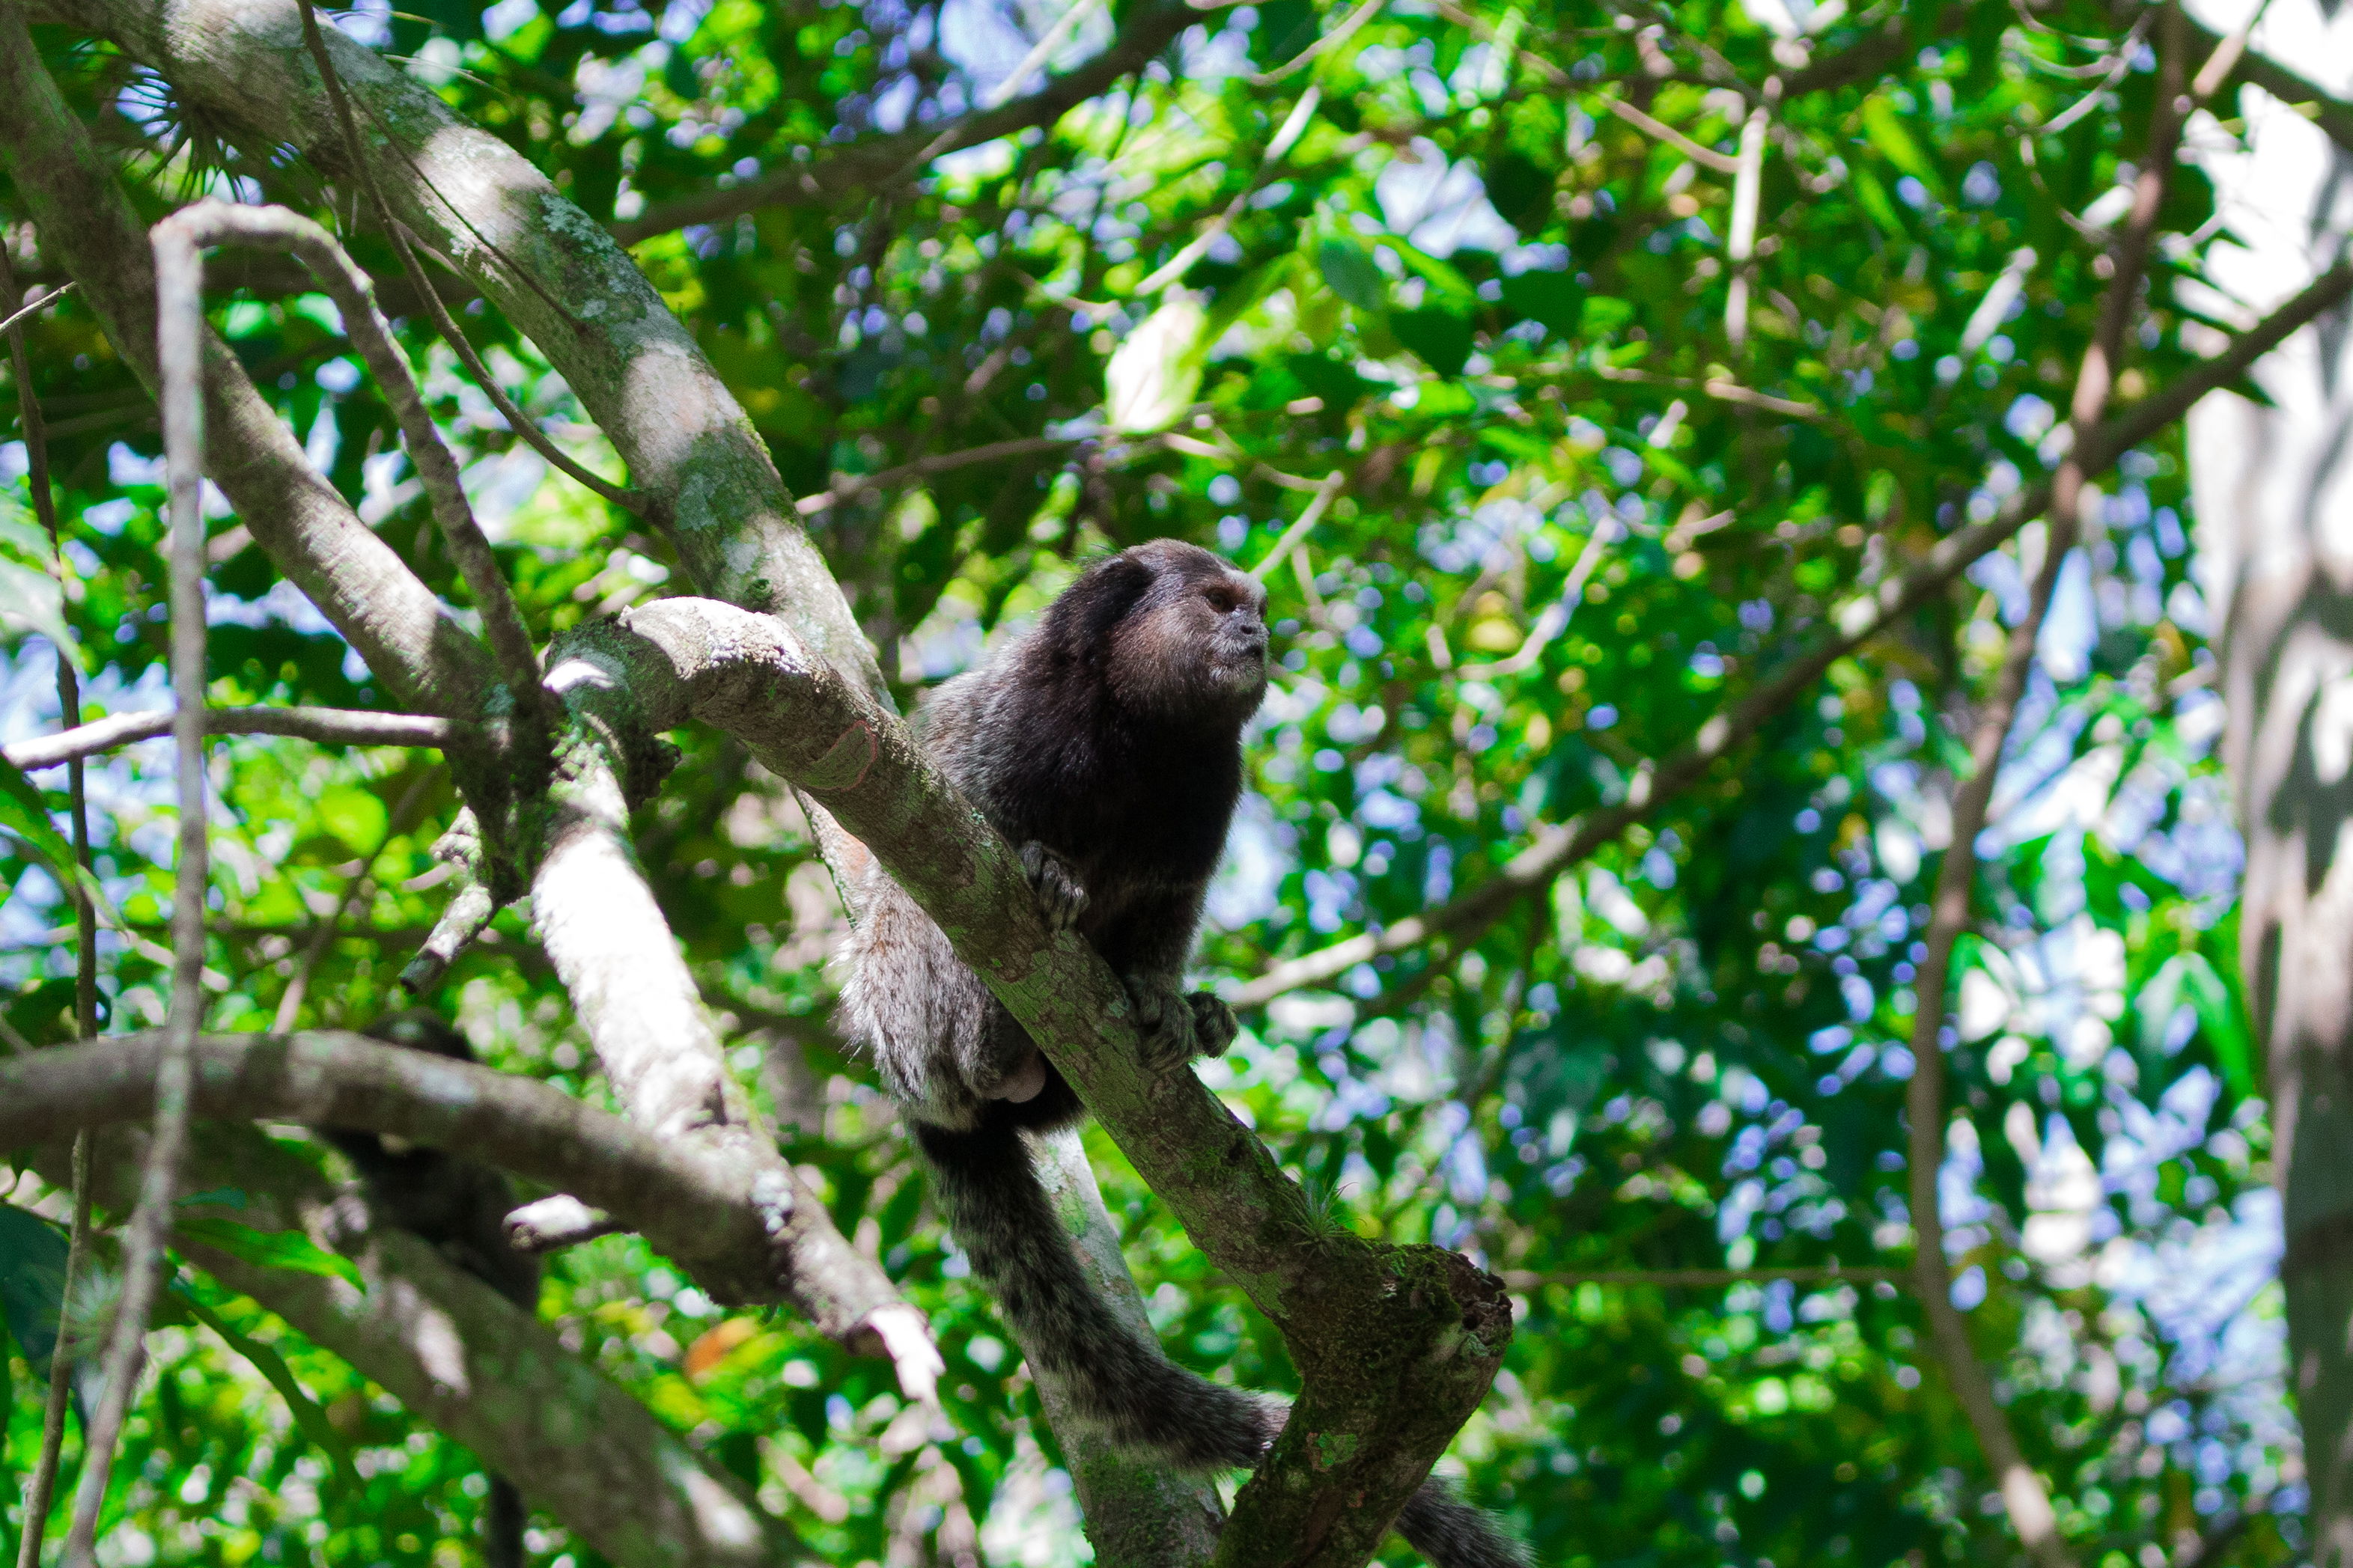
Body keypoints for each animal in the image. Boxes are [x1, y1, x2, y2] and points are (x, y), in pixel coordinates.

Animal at [842, 543, 1524, 1568]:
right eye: (1215, 603)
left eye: (1256, 610)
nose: (1255, 634)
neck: (1140, 733)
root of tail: (919, 1102)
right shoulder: (1010, 726)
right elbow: (940, 842)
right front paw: (1046, 870)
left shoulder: (1208, 790)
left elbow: (1166, 909)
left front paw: (1166, 999)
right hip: (902, 1021)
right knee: (921, 916)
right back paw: (992, 1043)